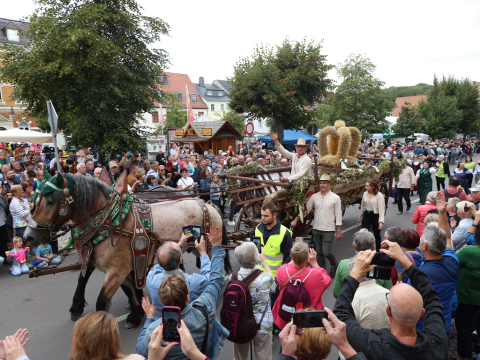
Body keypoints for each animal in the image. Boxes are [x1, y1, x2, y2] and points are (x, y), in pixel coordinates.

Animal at [24, 172, 231, 330]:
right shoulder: (121, 268)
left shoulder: (117, 270)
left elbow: (101, 301)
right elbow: (128, 290)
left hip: (208, 248)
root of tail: (206, 204)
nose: (28, 237)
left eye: (50, 202)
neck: (110, 222)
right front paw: (136, 313)